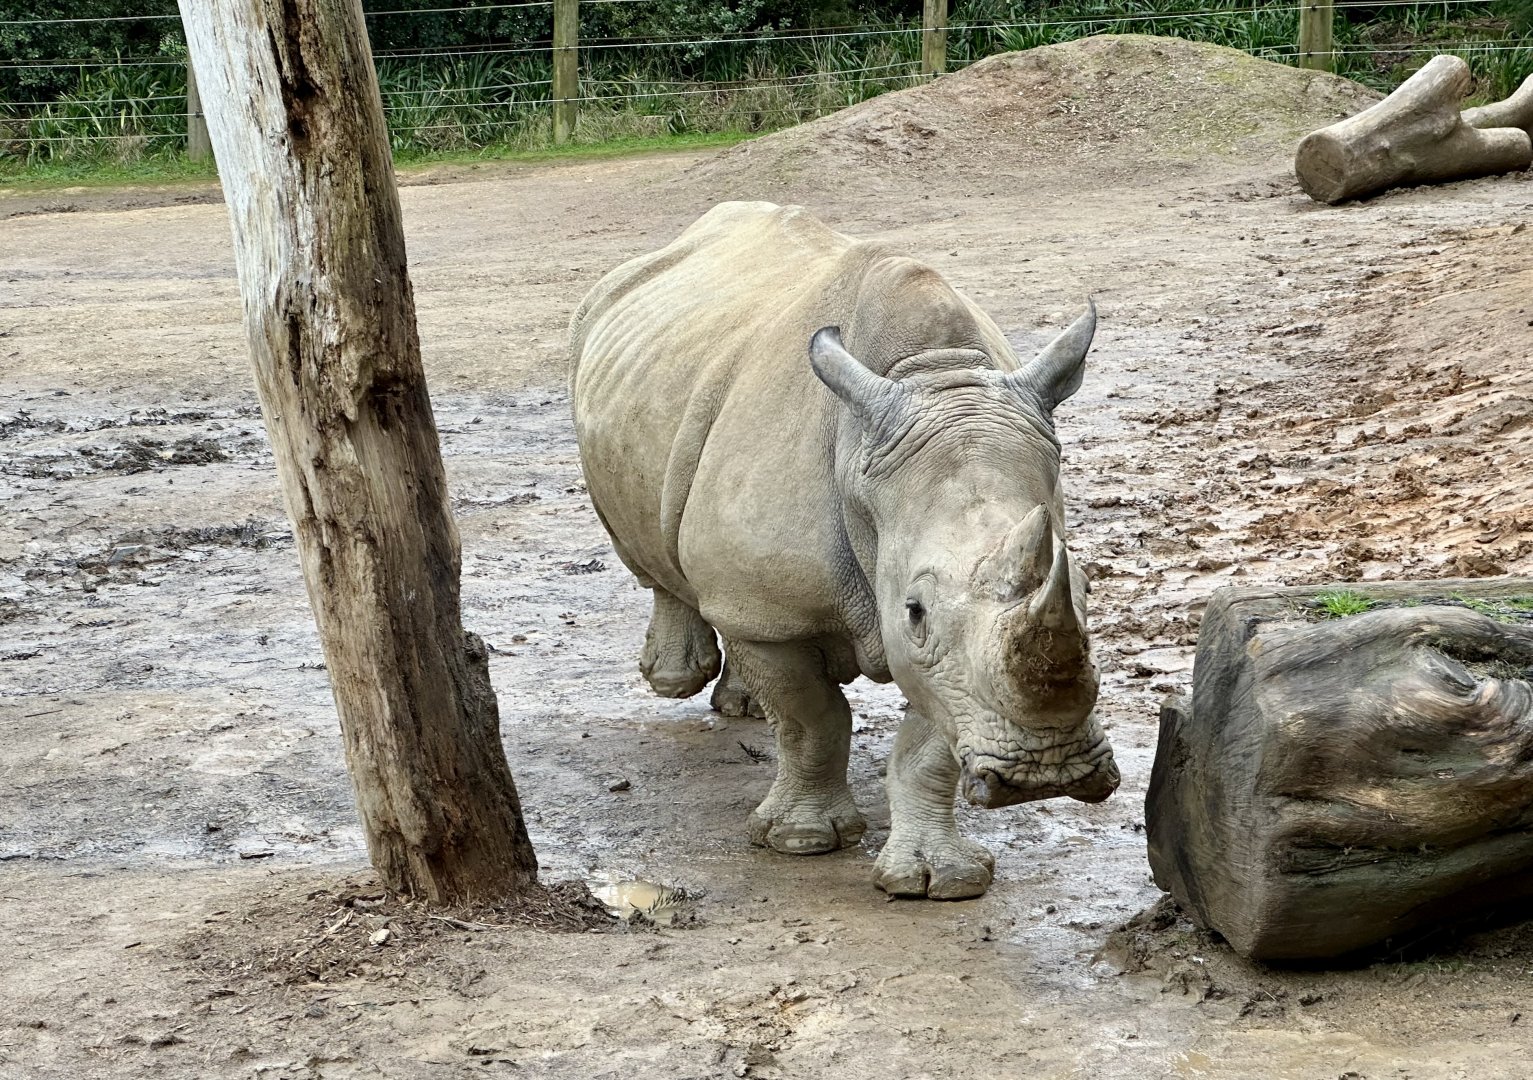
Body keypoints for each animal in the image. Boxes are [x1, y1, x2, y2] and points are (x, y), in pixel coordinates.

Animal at [569, 202, 1118, 899]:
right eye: (915, 611)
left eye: (1087, 590)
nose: (1048, 774)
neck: (934, 375)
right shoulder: (774, 611)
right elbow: (812, 720)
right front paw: (801, 842)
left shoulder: (950, 656)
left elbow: (930, 741)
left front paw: (940, 879)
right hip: (593, 347)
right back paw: (675, 678)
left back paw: (745, 705)